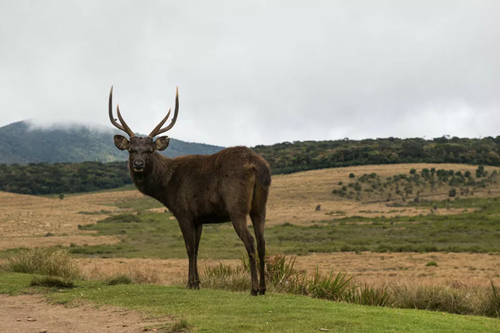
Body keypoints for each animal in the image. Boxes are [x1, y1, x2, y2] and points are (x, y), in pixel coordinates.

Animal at [108, 87, 272, 294]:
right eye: (131, 150)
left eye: (149, 150)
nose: (138, 164)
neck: (166, 187)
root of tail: (257, 165)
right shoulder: (199, 218)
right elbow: (197, 247)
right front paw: (197, 282)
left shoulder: (183, 211)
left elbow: (189, 248)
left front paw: (189, 283)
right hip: (260, 206)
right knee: (262, 242)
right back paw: (264, 288)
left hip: (237, 207)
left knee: (250, 241)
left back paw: (254, 288)